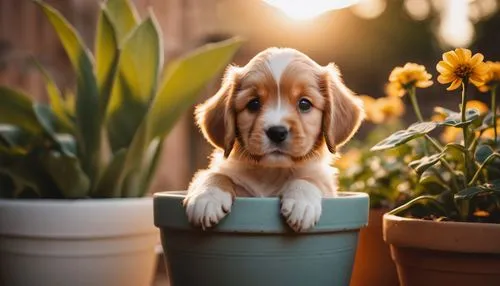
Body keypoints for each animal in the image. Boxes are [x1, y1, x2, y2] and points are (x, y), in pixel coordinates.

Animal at [184, 46, 364, 230]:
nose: (277, 132)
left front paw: (302, 203)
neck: (272, 172)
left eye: (304, 104)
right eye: (253, 104)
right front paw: (207, 197)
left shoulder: (326, 184)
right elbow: (214, 175)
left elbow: (309, 179)